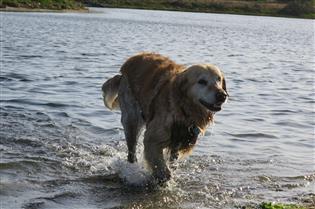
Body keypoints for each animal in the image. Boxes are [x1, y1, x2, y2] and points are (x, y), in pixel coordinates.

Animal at [102, 52, 228, 185]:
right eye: (202, 81)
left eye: (219, 79)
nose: (222, 95)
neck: (182, 109)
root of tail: (126, 65)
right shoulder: (152, 139)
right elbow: (161, 167)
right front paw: (162, 178)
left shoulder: (180, 142)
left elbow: (171, 162)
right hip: (131, 119)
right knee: (131, 152)